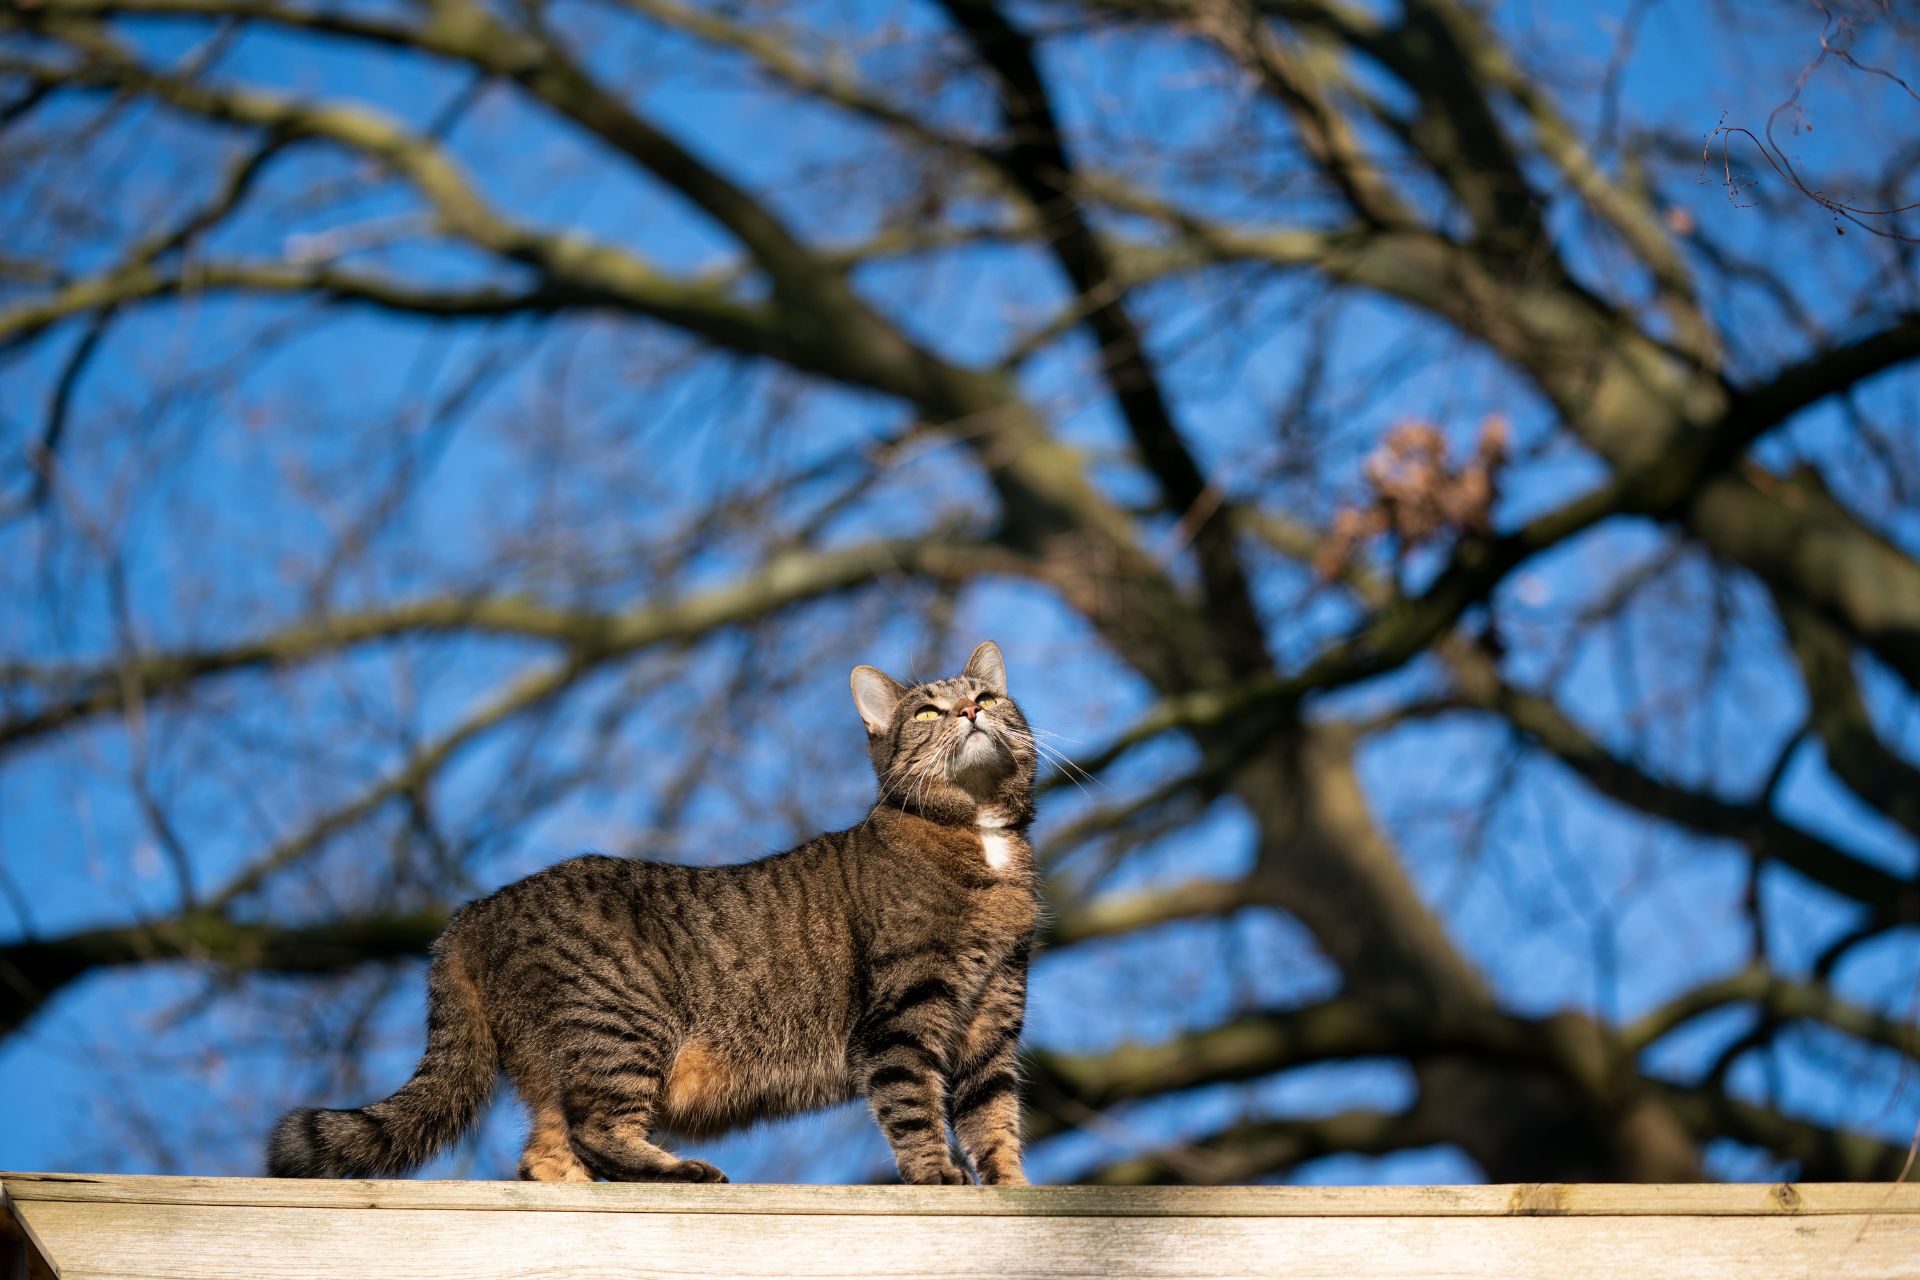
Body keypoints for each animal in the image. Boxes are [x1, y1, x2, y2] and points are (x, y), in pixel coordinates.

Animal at [264, 644, 1044, 1189]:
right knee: (593, 1128)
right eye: (928, 712)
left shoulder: (995, 1016)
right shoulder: (902, 1016)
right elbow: (915, 1105)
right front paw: (938, 1174)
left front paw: (1014, 1191)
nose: (972, 711)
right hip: (620, 1026)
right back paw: (681, 1169)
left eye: (988, 695)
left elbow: (994, 1115)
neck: (981, 843)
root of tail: (474, 912)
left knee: (543, 1152)